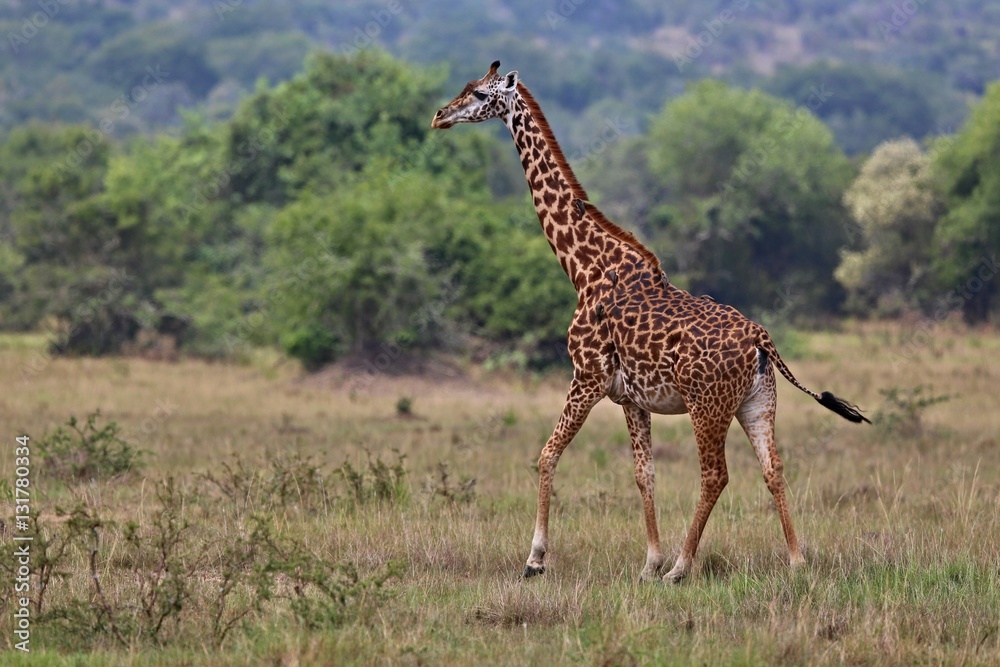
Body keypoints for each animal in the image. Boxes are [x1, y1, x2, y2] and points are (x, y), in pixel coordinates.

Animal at [431, 61, 870, 583]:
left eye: (480, 93)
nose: (440, 116)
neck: (585, 268)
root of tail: (762, 340)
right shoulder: (630, 397)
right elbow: (645, 474)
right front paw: (647, 563)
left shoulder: (587, 376)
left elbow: (546, 455)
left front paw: (535, 559)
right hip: (757, 402)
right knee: (774, 468)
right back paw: (796, 560)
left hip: (707, 405)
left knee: (715, 474)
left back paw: (682, 567)